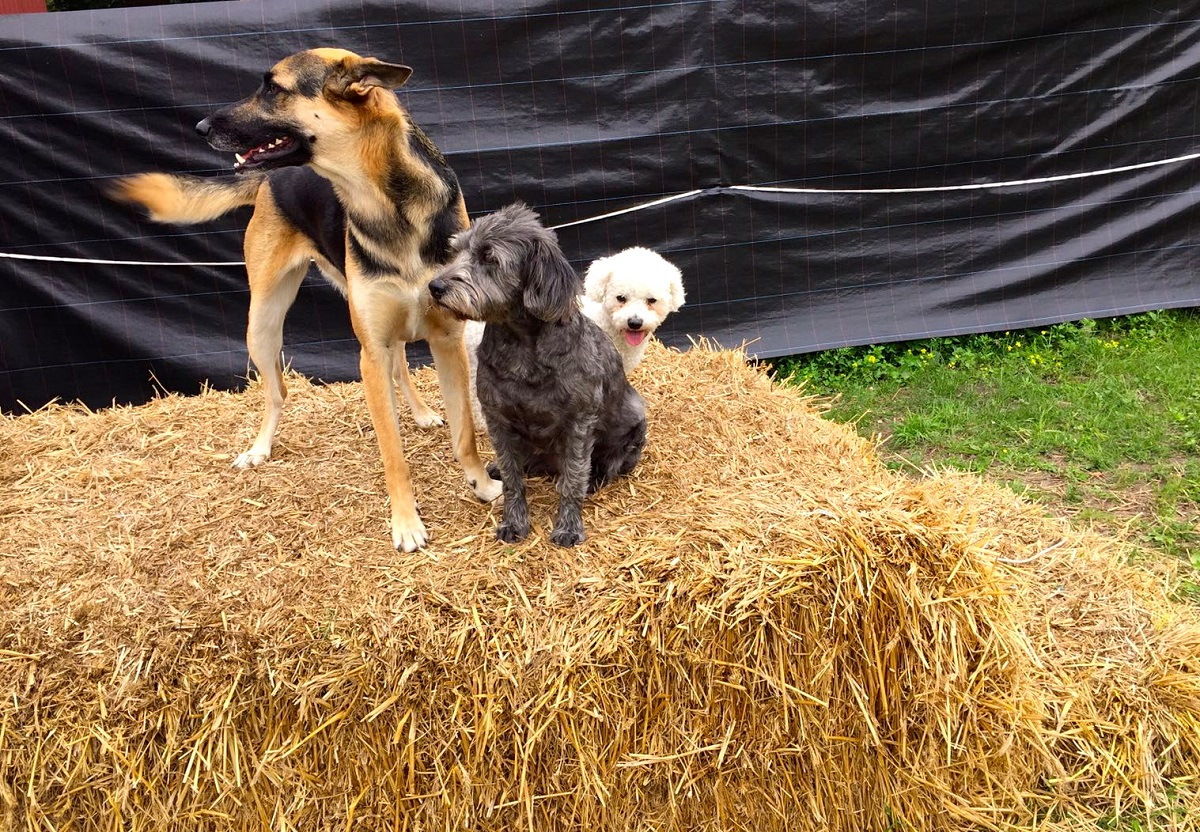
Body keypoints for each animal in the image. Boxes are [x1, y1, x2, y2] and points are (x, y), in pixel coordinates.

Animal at [109, 48, 501, 551]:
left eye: (274, 88)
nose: (199, 127)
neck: (386, 203)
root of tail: (269, 180)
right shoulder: (370, 353)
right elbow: (392, 452)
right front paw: (406, 522)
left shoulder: (447, 338)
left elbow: (465, 430)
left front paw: (482, 484)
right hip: (263, 323)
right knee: (277, 392)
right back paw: (260, 448)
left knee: (398, 368)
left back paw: (420, 412)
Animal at [427, 203, 647, 547]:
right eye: (456, 251)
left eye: (489, 258)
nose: (435, 287)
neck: (521, 346)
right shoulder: (497, 418)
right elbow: (513, 479)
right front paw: (514, 522)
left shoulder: (578, 424)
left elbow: (572, 479)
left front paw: (568, 526)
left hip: (634, 415)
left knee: (610, 463)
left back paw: (596, 477)